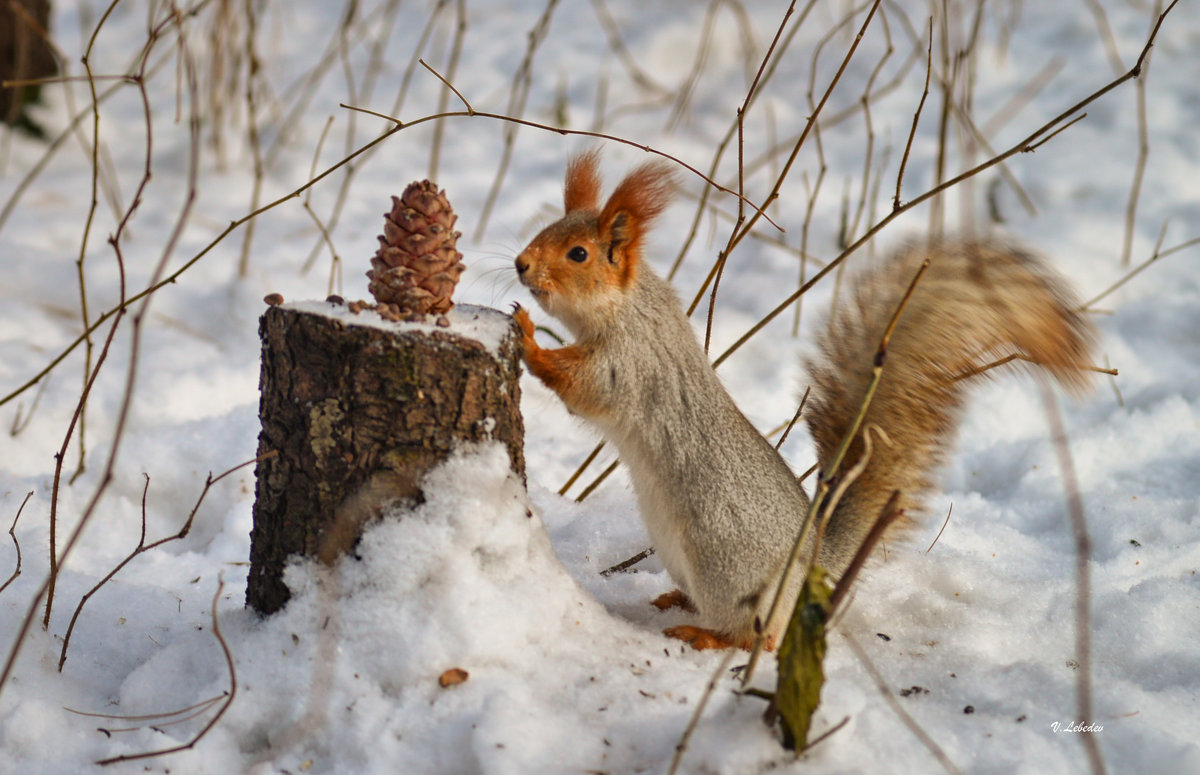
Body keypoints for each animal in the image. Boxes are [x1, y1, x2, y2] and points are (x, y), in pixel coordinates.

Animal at [511, 150, 1094, 647]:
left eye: (578, 254)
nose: (519, 263)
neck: (627, 306)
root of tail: (811, 562)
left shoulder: (629, 365)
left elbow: (582, 388)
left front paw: (529, 336)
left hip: (726, 566)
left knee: (758, 638)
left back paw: (706, 635)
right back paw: (675, 599)